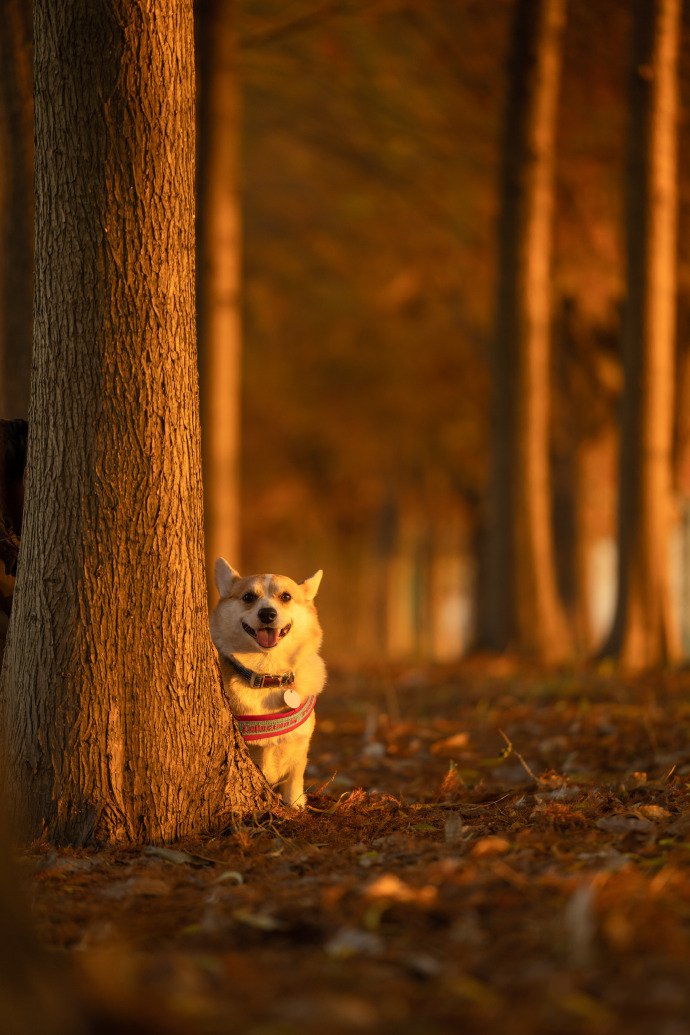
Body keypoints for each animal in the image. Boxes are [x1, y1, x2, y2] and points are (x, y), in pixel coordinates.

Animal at [211, 558, 326, 807]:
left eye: (286, 597)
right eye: (248, 597)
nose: (267, 614)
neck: (267, 675)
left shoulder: (299, 748)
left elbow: (294, 782)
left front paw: (297, 807)